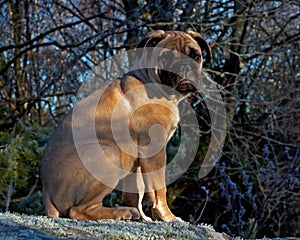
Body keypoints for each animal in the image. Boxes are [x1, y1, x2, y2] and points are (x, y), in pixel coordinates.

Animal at [41, 30, 212, 221]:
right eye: (167, 57)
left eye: (195, 56)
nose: (185, 67)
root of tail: (47, 194)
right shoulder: (154, 151)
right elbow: (159, 188)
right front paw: (167, 216)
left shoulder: (138, 159)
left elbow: (137, 190)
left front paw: (144, 216)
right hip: (109, 155)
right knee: (79, 210)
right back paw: (119, 212)